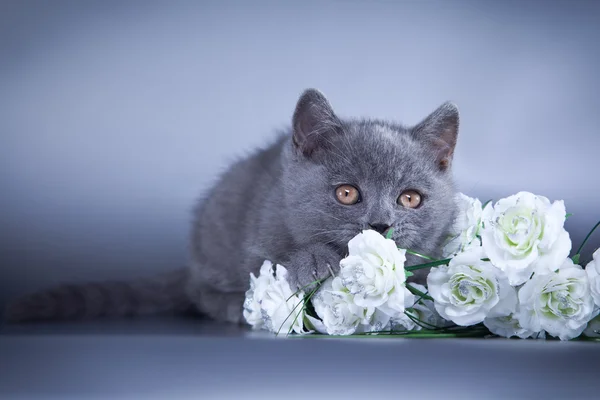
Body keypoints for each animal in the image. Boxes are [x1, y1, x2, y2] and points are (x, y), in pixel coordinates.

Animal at [4, 89, 460, 324]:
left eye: (409, 199)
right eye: (347, 194)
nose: (380, 224)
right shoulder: (261, 229)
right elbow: (272, 259)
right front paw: (314, 260)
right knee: (199, 292)